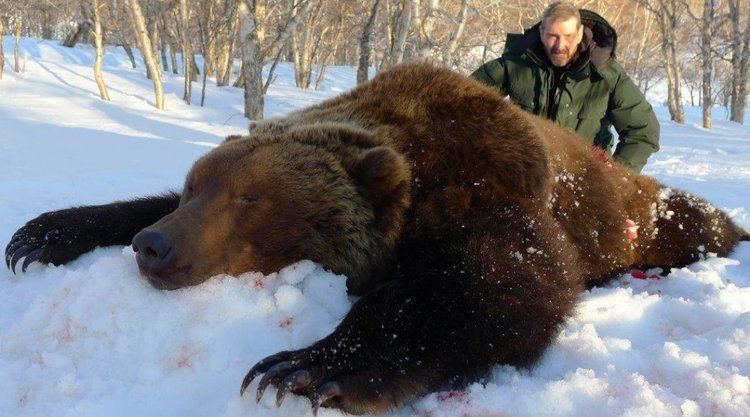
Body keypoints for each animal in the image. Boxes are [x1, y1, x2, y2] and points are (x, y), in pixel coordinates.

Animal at [5, 62, 750, 412]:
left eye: (251, 198)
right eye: (196, 187)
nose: (155, 247)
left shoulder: (493, 182)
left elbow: (504, 283)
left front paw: (307, 366)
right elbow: (130, 203)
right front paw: (42, 233)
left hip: (648, 213)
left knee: (694, 221)